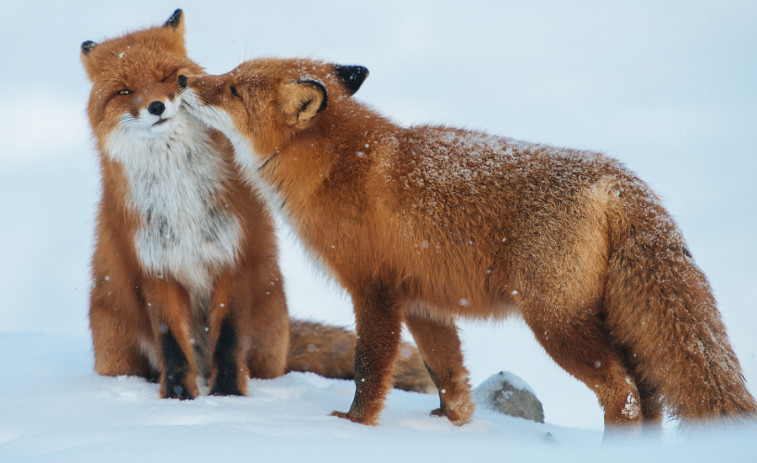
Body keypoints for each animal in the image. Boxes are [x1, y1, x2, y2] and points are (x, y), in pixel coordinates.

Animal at [78, 9, 432, 400]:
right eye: (124, 91)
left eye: (167, 77)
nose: (156, 106)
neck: (180, 192)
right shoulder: (157, 268)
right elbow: (172, 346)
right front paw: (179, 398)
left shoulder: (234, 257)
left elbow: (229, 338)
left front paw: (228, 396)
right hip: (116, 346)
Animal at [179, 58, 756, 432]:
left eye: (232, 88)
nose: (184, 79)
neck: (338, 166)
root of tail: (616, 177)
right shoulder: (424, 302)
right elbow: (448, 375)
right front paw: (451, 426)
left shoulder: (375, 290)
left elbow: (370, 368)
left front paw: (354, 426)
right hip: (608, 321)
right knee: (650, 393)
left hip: (555, 323)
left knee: (626, 394)